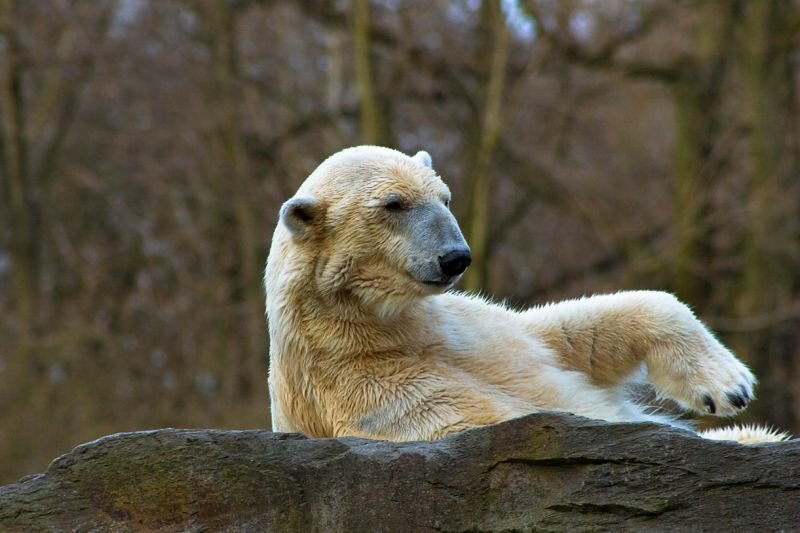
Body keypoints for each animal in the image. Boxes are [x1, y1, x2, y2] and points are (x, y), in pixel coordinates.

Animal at [266, 143, 792, 442]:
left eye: (445, 197)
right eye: (393, 204)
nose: (455, 256)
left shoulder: (471, 328)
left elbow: (569, 334)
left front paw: (729, 389)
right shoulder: (375, 395)